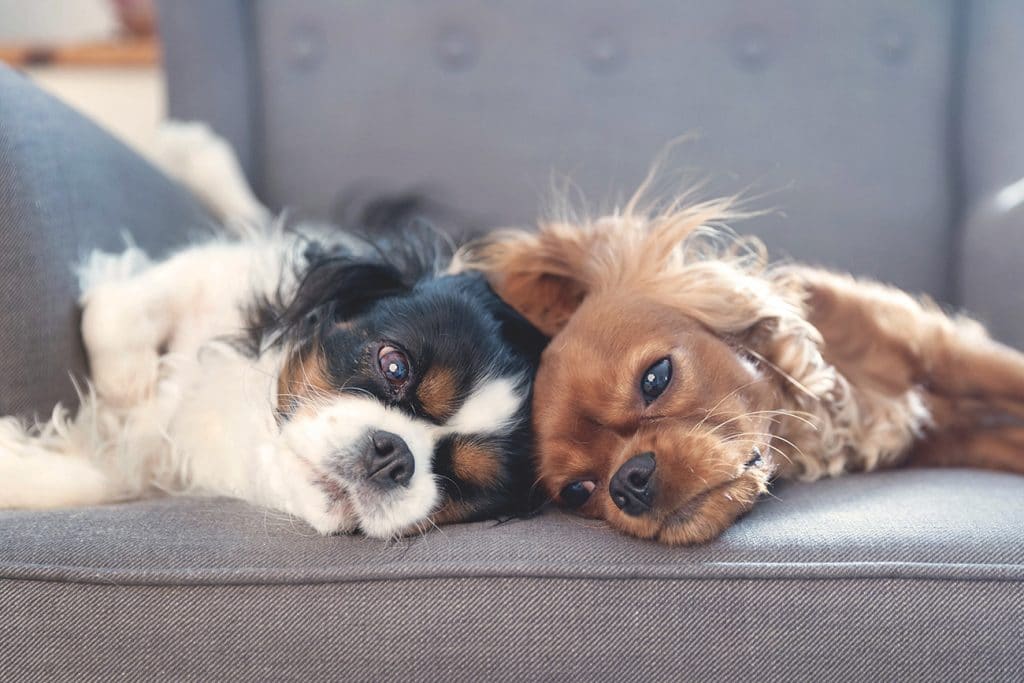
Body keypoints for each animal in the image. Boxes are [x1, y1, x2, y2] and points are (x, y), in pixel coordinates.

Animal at [0, 124, 544, 540]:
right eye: (394, 365)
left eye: (462, 481)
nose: (393, 456)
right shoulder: (216, 278)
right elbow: (116, 317)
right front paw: (127, 386)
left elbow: (95, 478)